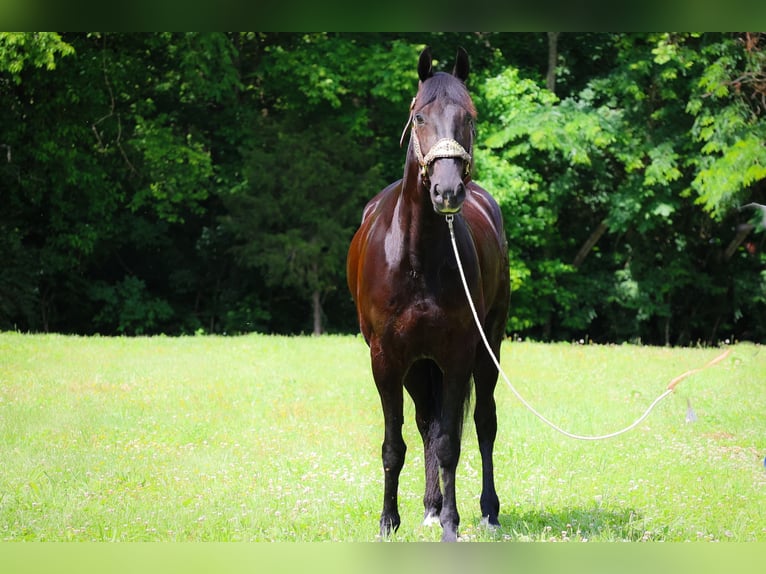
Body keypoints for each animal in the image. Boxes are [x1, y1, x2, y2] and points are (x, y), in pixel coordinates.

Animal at [348, 47, 510, 544]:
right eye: (419, 116)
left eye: (469, 117)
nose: (447, 190)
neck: (416, 255)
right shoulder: (386, 359)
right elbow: (394, 444)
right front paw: (389, 521)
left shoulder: (457, 354)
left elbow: (451, 442)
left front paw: (453, 526)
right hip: (417, 367)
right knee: (424, 424)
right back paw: (431, 507)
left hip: (488, 347)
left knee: (483, 422)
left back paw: (488, 511)